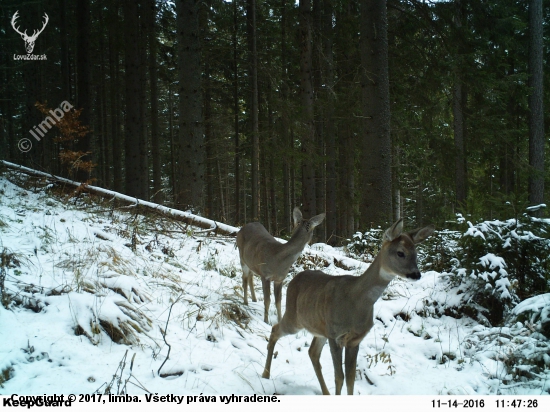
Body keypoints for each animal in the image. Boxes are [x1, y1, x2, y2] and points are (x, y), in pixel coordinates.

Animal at [264, 219, 436, 396]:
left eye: (416, 253)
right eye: (400, 253)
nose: (416, 274)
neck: (355, 301)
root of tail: (293, 280)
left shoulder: (355, 339)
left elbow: (351, 379)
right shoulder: (336, 335)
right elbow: (339, 377)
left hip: (319, 328)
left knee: (312, 352)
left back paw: (325, 392)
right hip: (295, 317)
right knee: (275, 330)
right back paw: (265, 375)